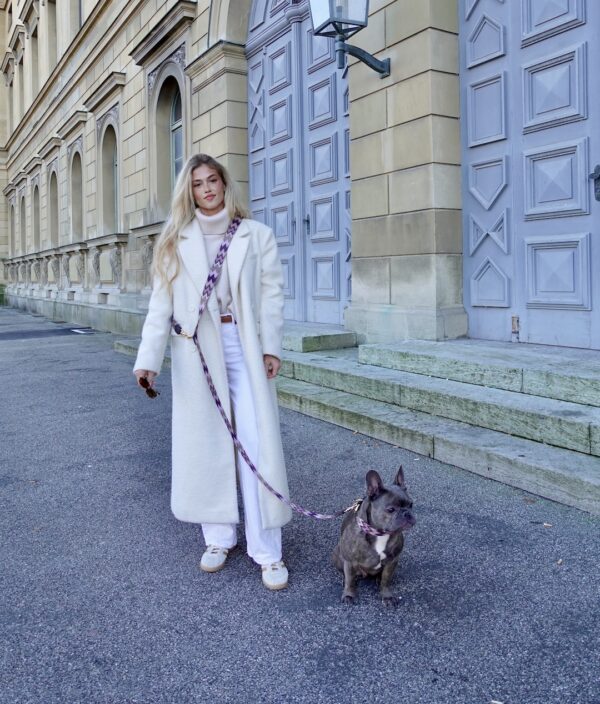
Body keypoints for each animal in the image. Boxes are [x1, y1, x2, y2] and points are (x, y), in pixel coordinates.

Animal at [332, 466, 416, 606]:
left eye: (411, 505)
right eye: (391, 509)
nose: (407, 514)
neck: (380, 533)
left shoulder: (392, 561)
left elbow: (386, 580)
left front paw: (386, 595)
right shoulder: (349, 561)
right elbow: (350, 579)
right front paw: (349, 594)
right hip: (338, 554)